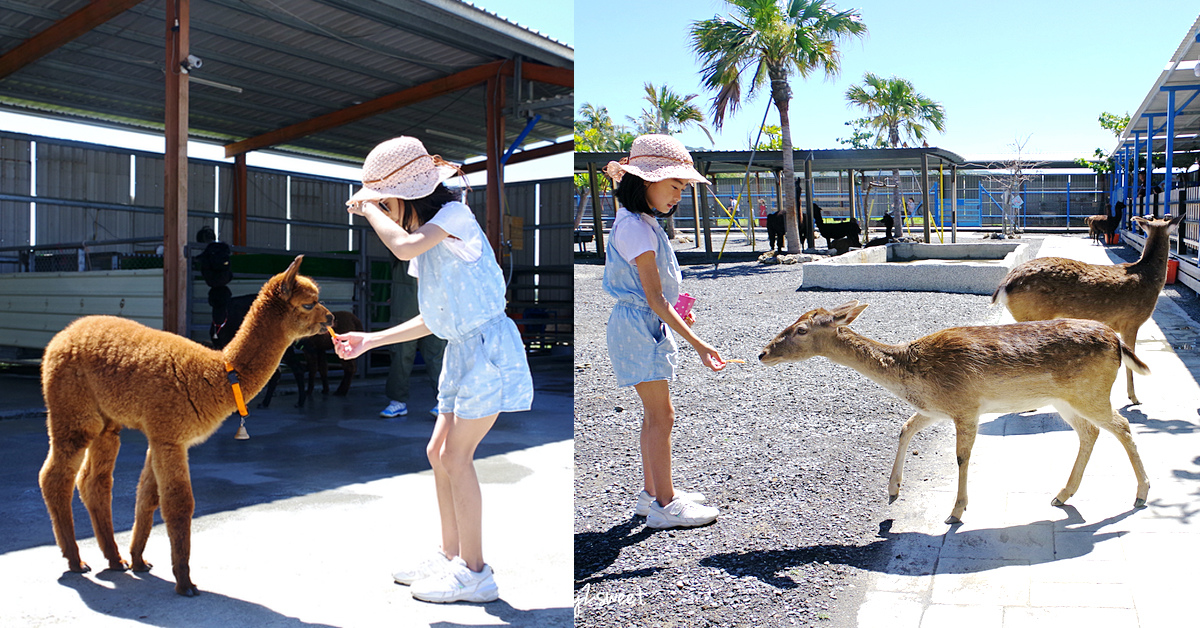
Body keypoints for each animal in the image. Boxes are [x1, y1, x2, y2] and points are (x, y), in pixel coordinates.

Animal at [39, 254, 333, 595]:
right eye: (309, 303)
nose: (331, 318)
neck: (219, 372)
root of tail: (59, 337)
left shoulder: (159, 434)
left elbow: (148, 496)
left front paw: (139, 560)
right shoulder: (170, 436)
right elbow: (178, 504)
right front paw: (185, 582)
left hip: (106, 422)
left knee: (94, 483)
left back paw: (114, 559)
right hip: (73, 412)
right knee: (55, 478)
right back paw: (75, 561)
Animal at [758, 302, 1152, 528]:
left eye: (801, 329)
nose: (762, 353)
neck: (912, 373)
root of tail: (1118, 342)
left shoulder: (965, 406)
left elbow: (962, 457)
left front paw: (956, 512)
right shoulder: (934, 408)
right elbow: (904, 428)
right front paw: (893, 491)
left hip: (1091, 393)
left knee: (1122, 425)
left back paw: (1141, 493)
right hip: (1066, 400)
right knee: (1090, 433)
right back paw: (1062, 495)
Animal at [993, 213, 1180, 405]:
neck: (1148, 278)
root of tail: (1003, 286)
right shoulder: (1131, 321)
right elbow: (1131, 359)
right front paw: (1134, 398)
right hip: (1032, 314)